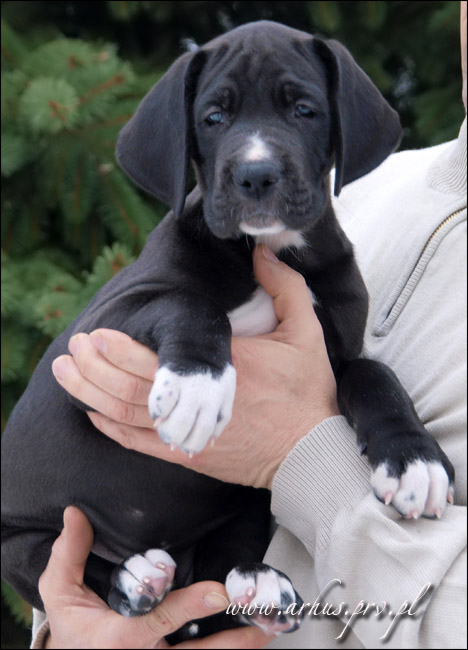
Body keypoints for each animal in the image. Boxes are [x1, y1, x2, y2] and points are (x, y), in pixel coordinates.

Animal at [1, 20, 455, 640]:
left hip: (240, 505)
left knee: (225, 565)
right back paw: (135, 577)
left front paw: (413, 459)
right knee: (64, 566)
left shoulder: (333, 354)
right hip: (22, 544)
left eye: (304, 110)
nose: (255, 175)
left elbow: (374, 374)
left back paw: (256, 582)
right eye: (213, 117)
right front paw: (197, 387)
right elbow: (190, 302)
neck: (270, 249)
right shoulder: (101, 326)